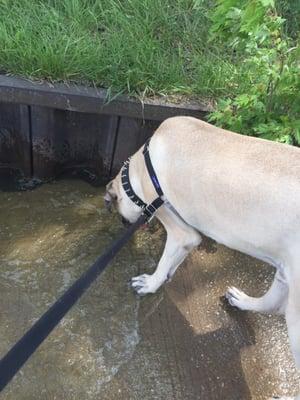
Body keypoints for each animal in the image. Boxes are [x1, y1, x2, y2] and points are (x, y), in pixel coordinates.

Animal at [105, 115, 300, 400]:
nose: (124, 224)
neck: (142, 166)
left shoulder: (179, 229)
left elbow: (166, 259)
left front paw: (151, 283)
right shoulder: (188, 237)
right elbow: (174, 260)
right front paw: (167, 275)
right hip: (286, 269)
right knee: (273, 303)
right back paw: (242, 301)